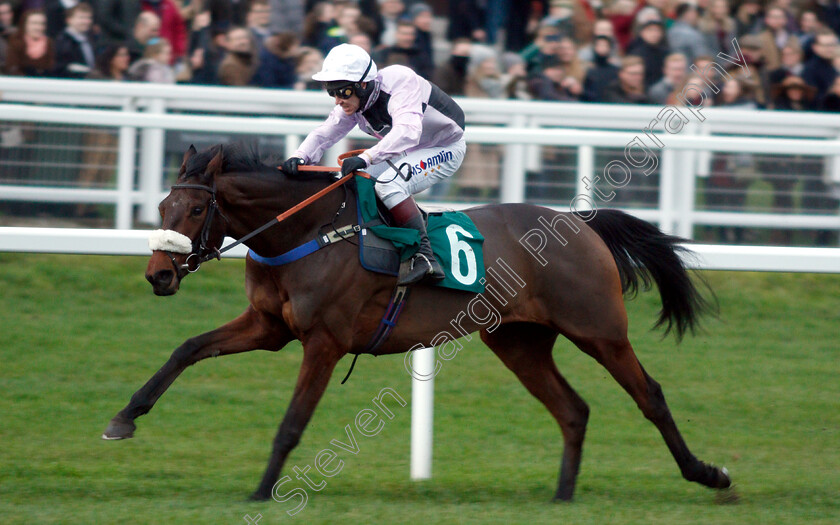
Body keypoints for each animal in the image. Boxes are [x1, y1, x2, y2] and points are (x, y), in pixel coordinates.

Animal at [103, 142, 736, 500]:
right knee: (572, 409)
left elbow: (292, 423)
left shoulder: (324, 341)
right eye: (162, 206)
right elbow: (187, 349)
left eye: (195, 208)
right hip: (518, 341)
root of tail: (580, 223)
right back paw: (561, 497)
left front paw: (261, 491)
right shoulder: (268, 327)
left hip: (598, 329)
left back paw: (708, 474)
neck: (306, 232)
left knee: (649, 395)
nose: (159, 275)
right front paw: (124, 418)